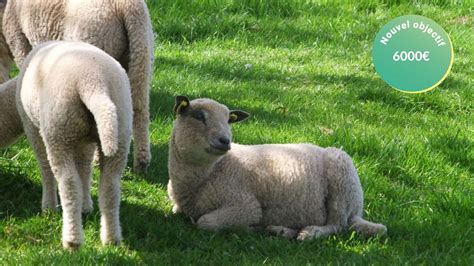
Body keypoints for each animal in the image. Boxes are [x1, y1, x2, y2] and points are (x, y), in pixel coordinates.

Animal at [4, 0, 156, 172]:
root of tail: (125, 6)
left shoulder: (20, 41)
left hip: (96, 49)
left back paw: (97, 159)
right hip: (142, 54)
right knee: (140, 109)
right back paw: (142, 162)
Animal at [16, 40, 132, 248]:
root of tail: (93, 82)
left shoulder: (32, 126)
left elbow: (45, 167)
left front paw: (48, 206)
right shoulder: (85, 141)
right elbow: (85, 168)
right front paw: (86, 206)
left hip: (58, 131)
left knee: (69, 184)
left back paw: (72, 240)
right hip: (119, 129)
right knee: (110, 187)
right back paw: (111, 239)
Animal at [168, 96, 386, 240]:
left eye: (229, 120)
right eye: (198, 116)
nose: (225, 141)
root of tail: (357, 210)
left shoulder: (246, 206)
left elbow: (204, 222)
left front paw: (247, 229)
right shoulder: (179, 205)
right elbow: (177, 211)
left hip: (342, 182)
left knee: (338, 225)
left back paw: (310, 232)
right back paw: (281, 230)